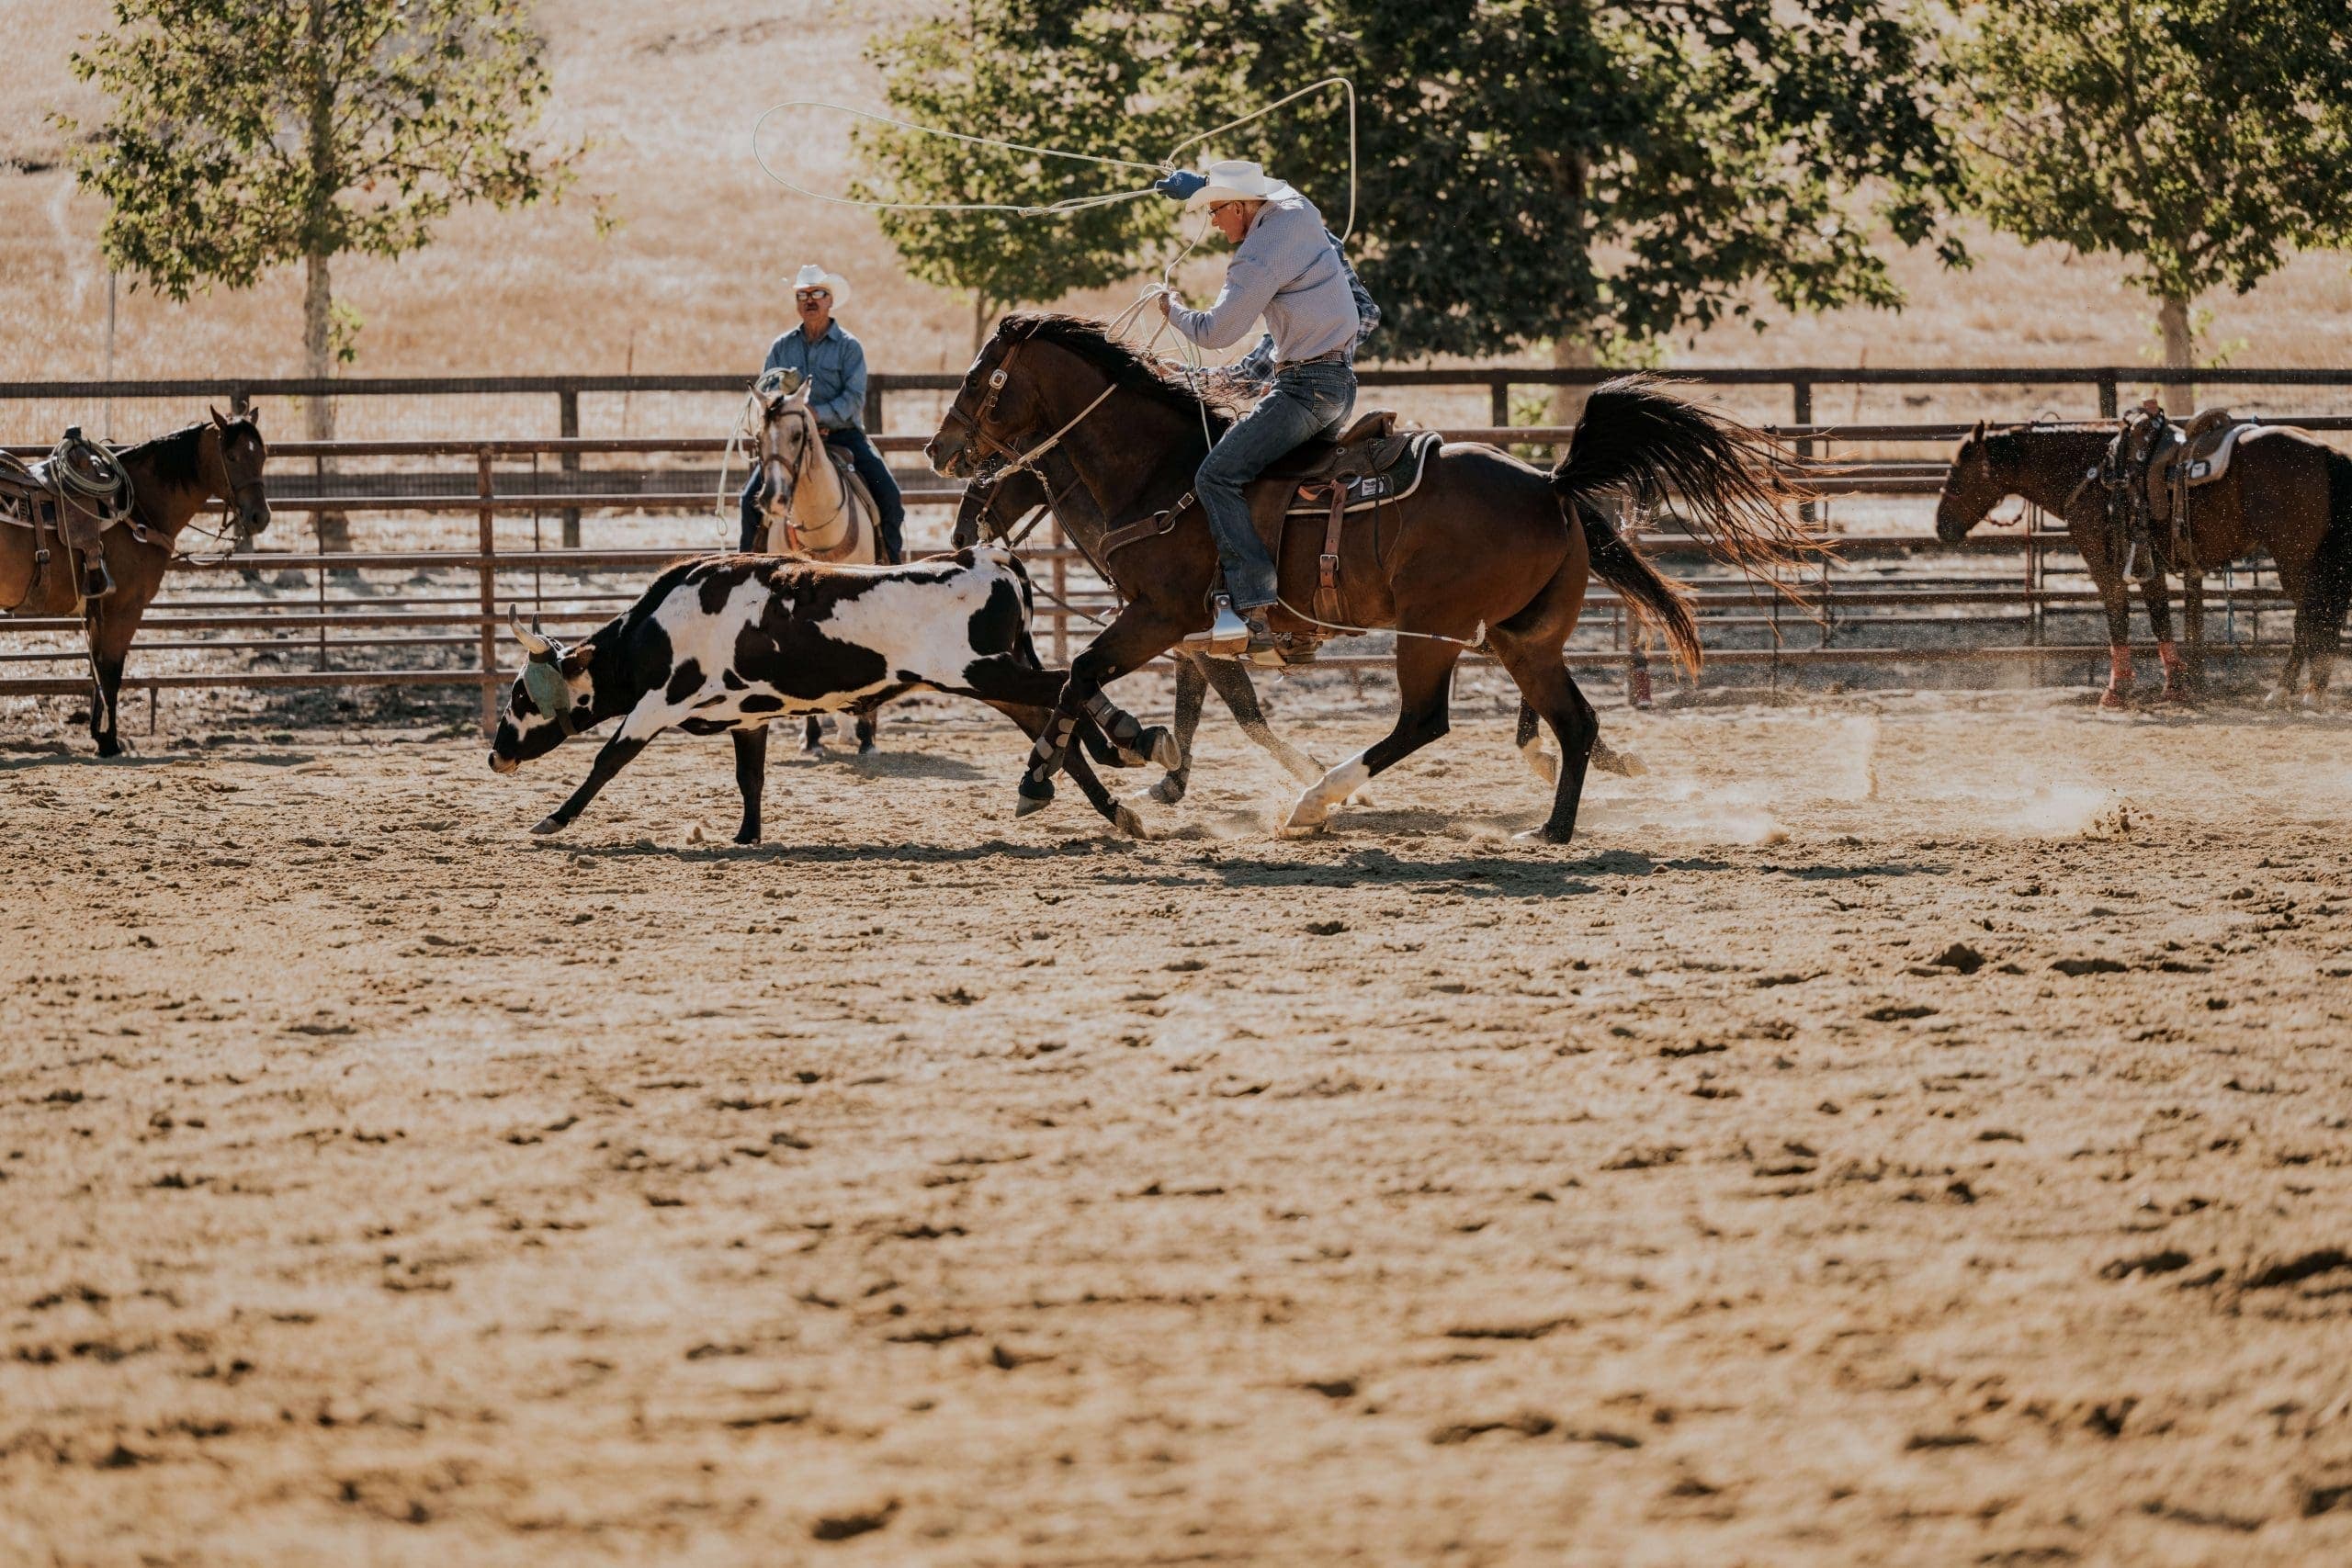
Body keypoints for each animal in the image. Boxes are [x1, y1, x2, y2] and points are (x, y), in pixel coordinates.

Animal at [3, 409, 270, 757]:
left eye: (263, 455)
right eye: (232, 456)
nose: (260, 517)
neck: (137, 509)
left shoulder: (99, 609)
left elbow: (97, 671)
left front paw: (98, 734)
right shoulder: (124, 607)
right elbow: (111, 672)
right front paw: (110, 742)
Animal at [926, 310, 1806, 841]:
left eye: (977, 377)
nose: (940, 454)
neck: (1162, 471)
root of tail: (1552, 484)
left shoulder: (1163, 616)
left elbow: (1084, 674)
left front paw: (1046, 777)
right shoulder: (1191, 635)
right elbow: (1202, 705)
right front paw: (1149, 760)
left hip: (1434, 631)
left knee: (1425, 721)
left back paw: (1317, 800)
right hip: (1524, 638)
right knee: (1574, 721)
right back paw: (1551, 827)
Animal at [1938, 423, 2352, 705]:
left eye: (1957, 473)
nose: (1941, 527)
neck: (2094, 474)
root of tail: (2325, 449)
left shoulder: (2105, 565)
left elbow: (2118, 618)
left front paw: (2116, 690)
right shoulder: (2148, 564)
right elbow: (2159, 617)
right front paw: (2175, 686)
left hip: (2296, 559)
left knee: (2310, 616)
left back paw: (2287, 690)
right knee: (2320, 615)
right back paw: (2309, 689)